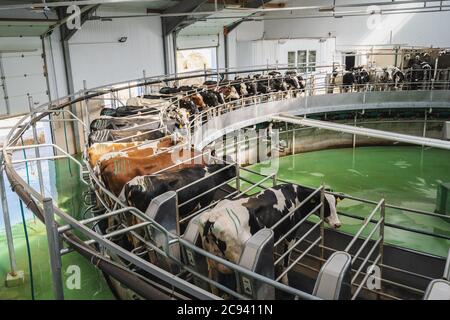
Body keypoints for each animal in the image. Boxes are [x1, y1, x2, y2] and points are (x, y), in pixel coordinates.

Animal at [197, 182, 342, 290]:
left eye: (335, 203)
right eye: (325, 205)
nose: (337, 224)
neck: (294, 195)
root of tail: (212, 218)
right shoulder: (291, 234)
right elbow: (285, 261)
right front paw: (285, 282)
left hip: (211, 262)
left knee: (213, 284)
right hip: (237, 259)